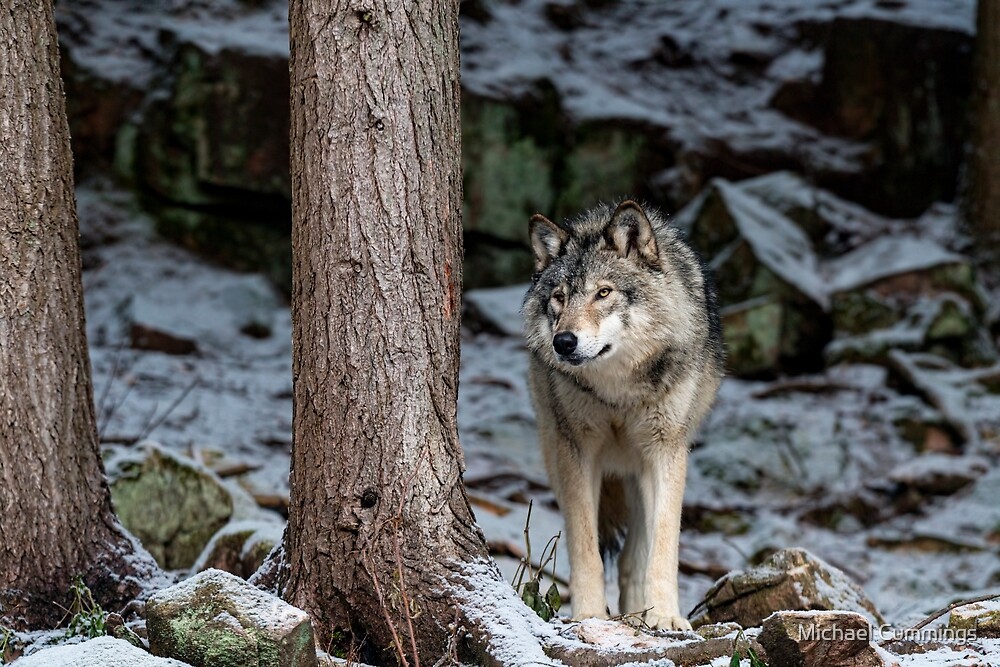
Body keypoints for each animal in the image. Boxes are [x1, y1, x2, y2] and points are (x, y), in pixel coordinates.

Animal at [520, 198, 724, 632]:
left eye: (603, 292)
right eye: (559, 297)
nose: (564, 342)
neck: (618, 393)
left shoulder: (666, 452)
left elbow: (663, 546)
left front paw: (665, 615)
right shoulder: (577, 451)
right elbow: (585, 546)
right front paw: (589, 614)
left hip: (640, 469)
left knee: (634, 556)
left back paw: (639, 612)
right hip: (555, 453)